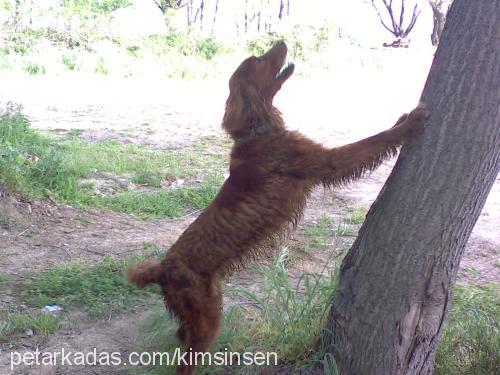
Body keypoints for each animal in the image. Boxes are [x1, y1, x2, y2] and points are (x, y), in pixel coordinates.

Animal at [128, 41, 430, 375]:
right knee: (187, 360)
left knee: (181, 334)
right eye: (258, 61)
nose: (282, 41)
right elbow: (370, 142)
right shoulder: (326, 161)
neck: (258, 132)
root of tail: (161, 268)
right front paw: (410, 123)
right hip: (206, 319)